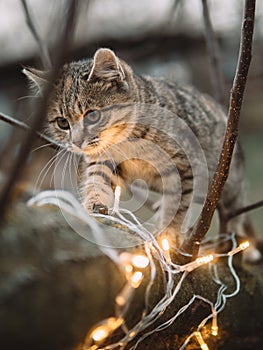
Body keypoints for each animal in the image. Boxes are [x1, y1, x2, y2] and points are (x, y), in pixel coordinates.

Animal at [23, 47, 260, 258]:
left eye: (92, 116)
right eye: (62, 122)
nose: (77, 142)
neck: (125, 141)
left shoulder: (185, 164)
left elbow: (178, 203)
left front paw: (169, 233)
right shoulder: (102, 160)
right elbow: (97, 180)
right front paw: (94, 205)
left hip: (229, 177)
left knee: (235, 207)